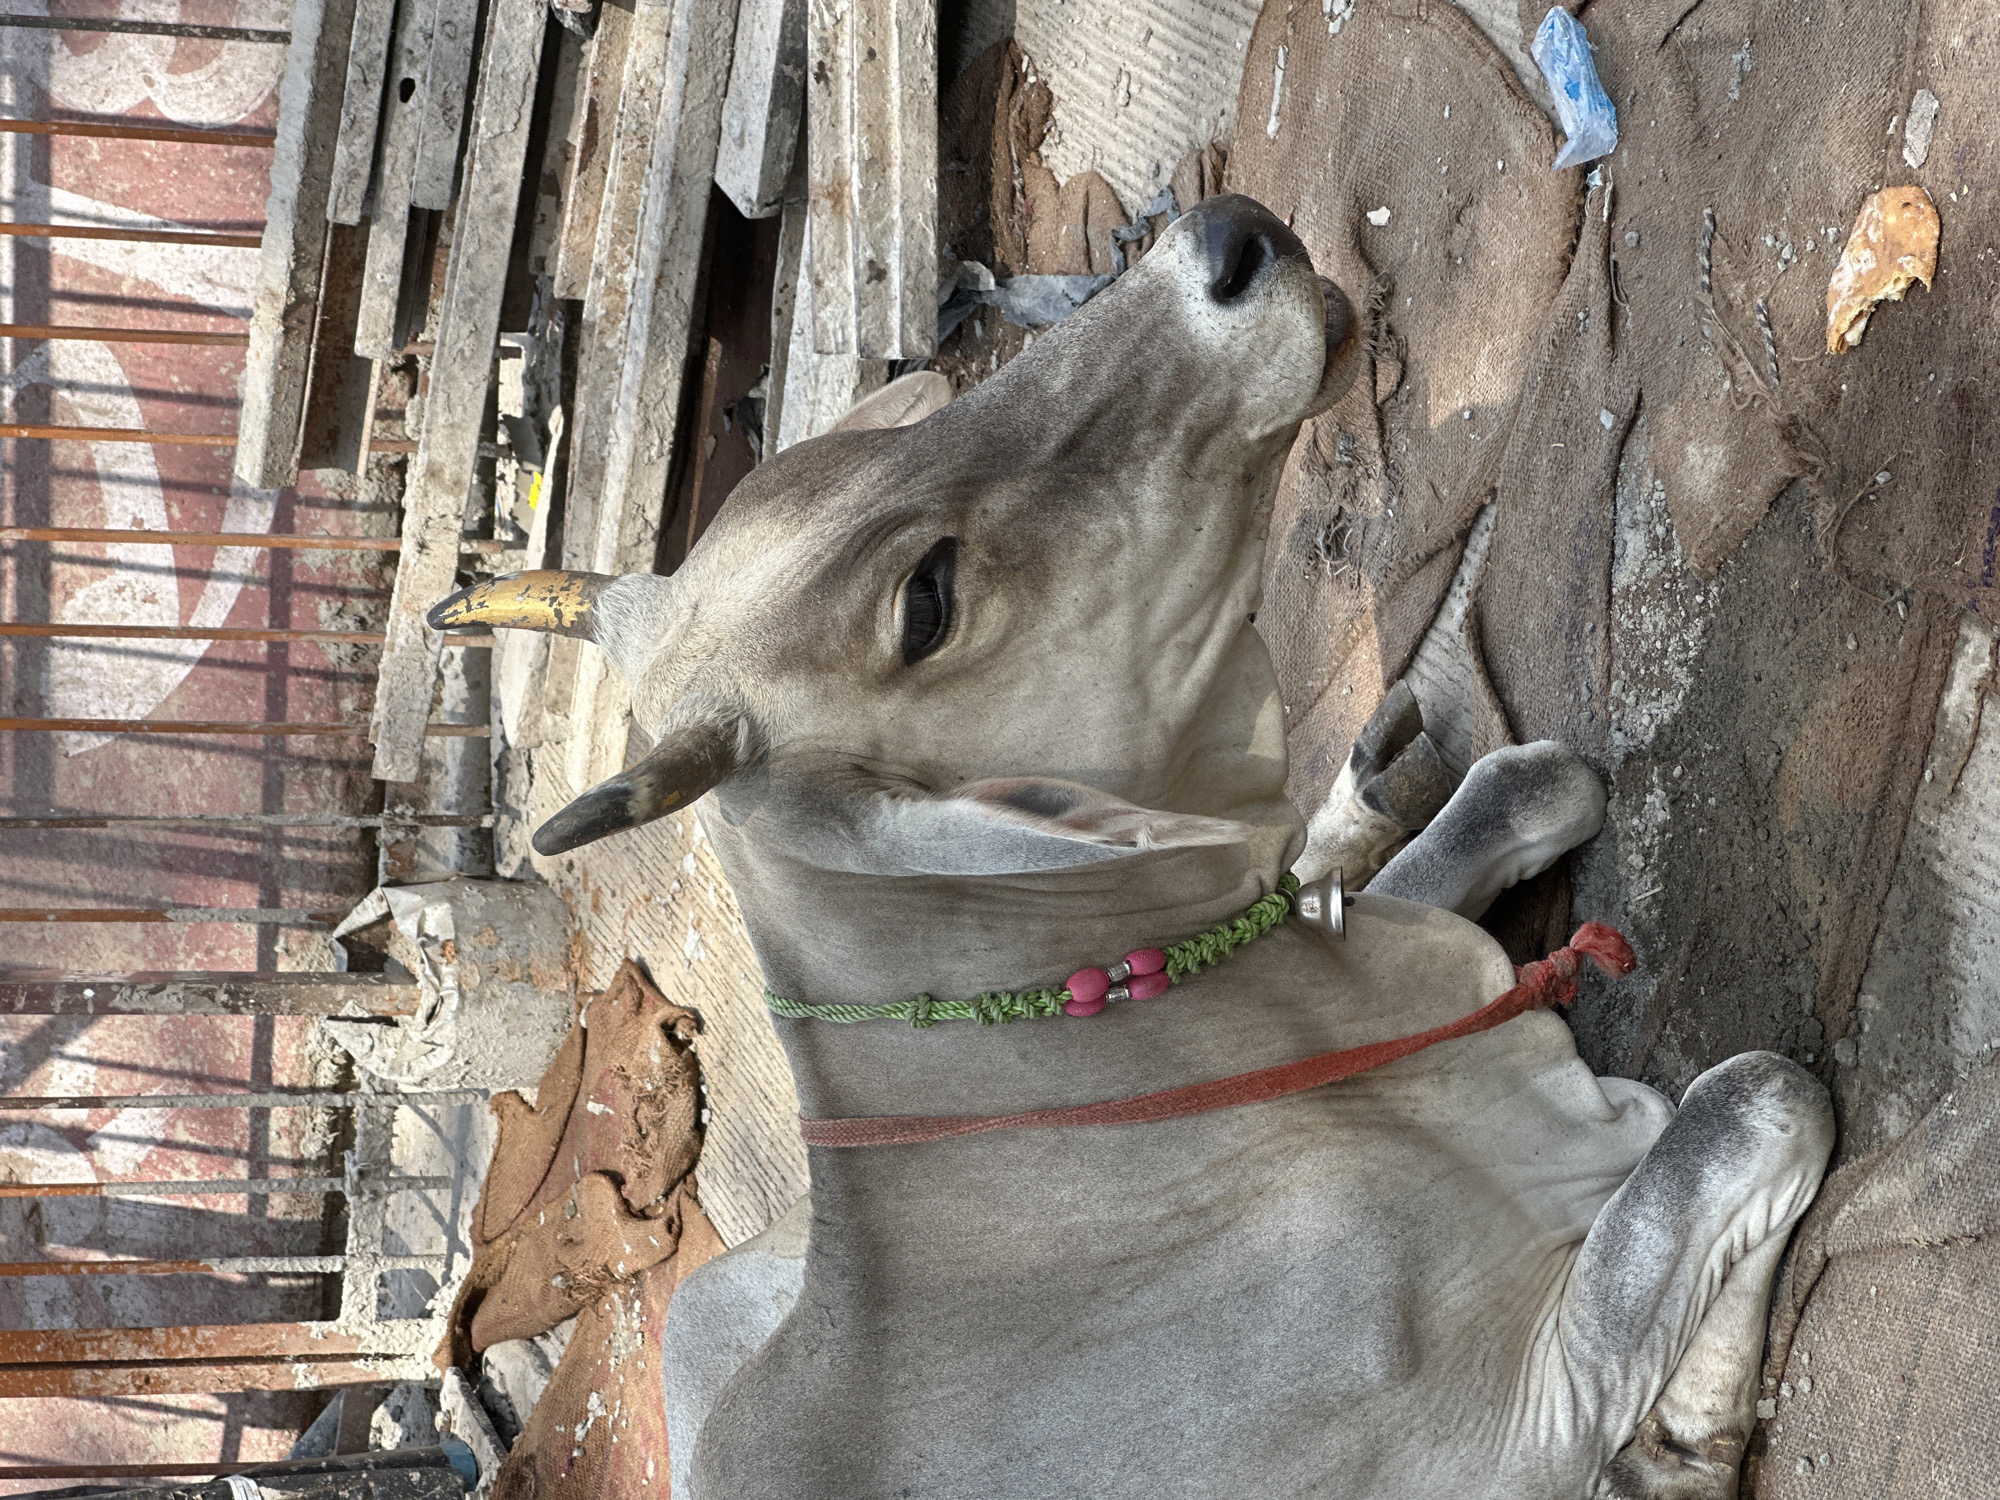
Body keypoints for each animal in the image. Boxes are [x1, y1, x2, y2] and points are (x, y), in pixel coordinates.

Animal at [431, 196, 1831, 1499]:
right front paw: (1683, 1440)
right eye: (924, 600)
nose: (1226, 236)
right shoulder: (1516, 1430)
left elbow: (1538, 781)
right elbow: (1762, 1094)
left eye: (858, 450)